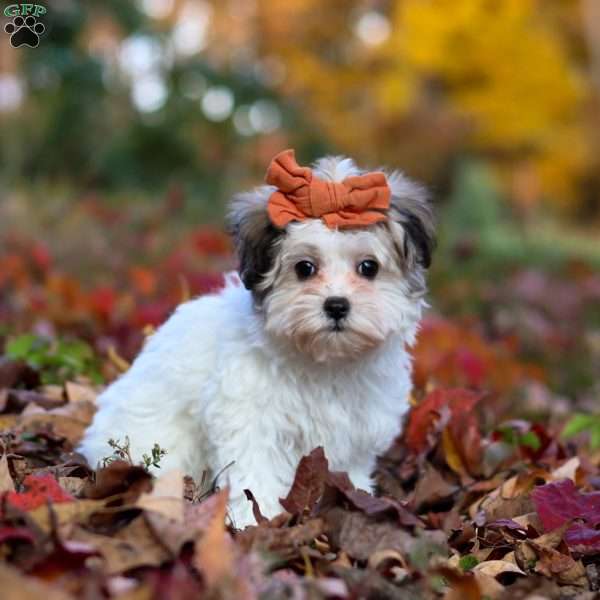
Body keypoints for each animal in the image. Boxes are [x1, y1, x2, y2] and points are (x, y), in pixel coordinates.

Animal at [79, 151, 436, 528]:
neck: (325, 361)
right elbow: (254, 471)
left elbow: (349, 470)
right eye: (304, 268)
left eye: (369, 267)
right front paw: (254, 520)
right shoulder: (251, 420)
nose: (337, 305)